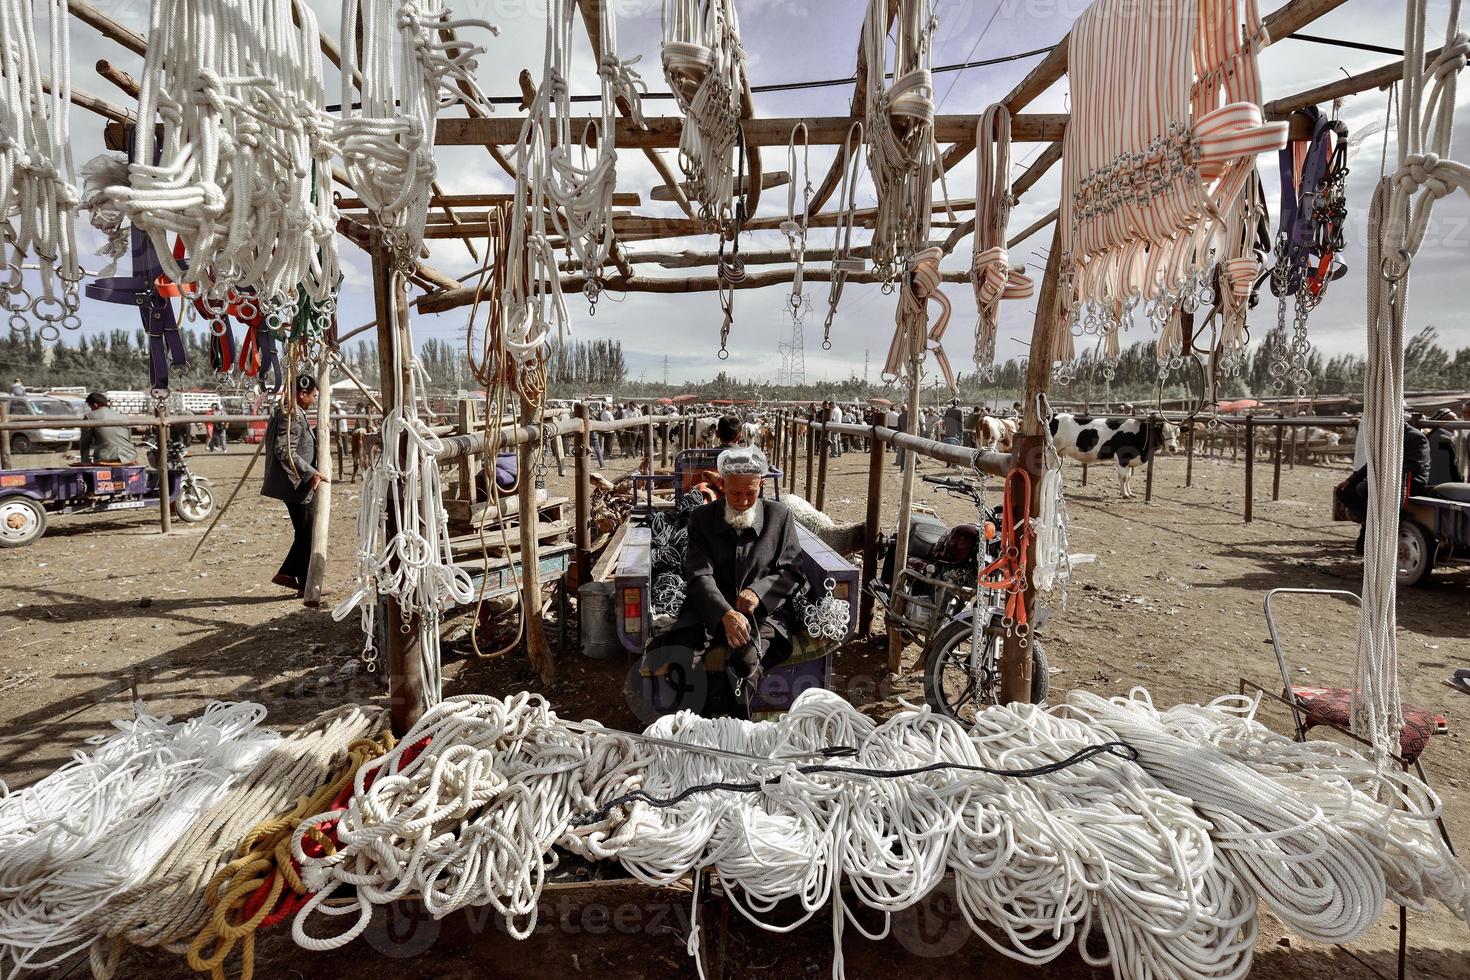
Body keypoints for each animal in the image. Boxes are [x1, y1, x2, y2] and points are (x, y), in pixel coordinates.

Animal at [1046, 414, 1181, 499]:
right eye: (1163, 431)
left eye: (1178, 433)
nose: (1173, 447)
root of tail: (1055, 416)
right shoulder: (1123, 458)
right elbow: (1123, 477)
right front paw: (1125, 494)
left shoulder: (1129, 461)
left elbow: (1128, 477)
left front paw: (1130, 492)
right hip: (1051, 451)